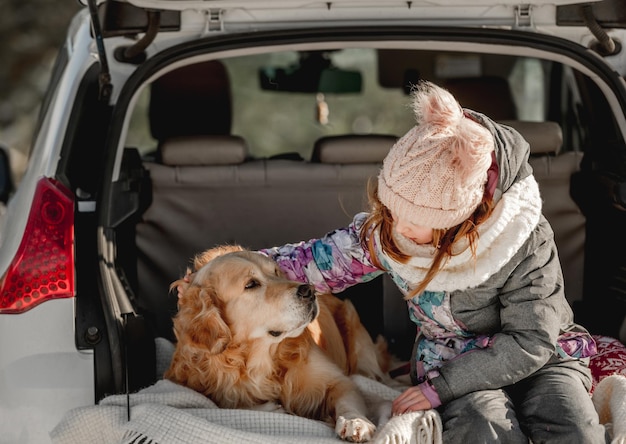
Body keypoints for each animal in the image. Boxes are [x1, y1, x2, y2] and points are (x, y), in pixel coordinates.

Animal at [163, 245, 388, 442]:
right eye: (251, 284)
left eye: (277, 272)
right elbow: (234, 404)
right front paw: (273, 408)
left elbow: (347, 398)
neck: (259, 358)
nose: (309, 290)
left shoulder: (339, 381)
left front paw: (355, 422)